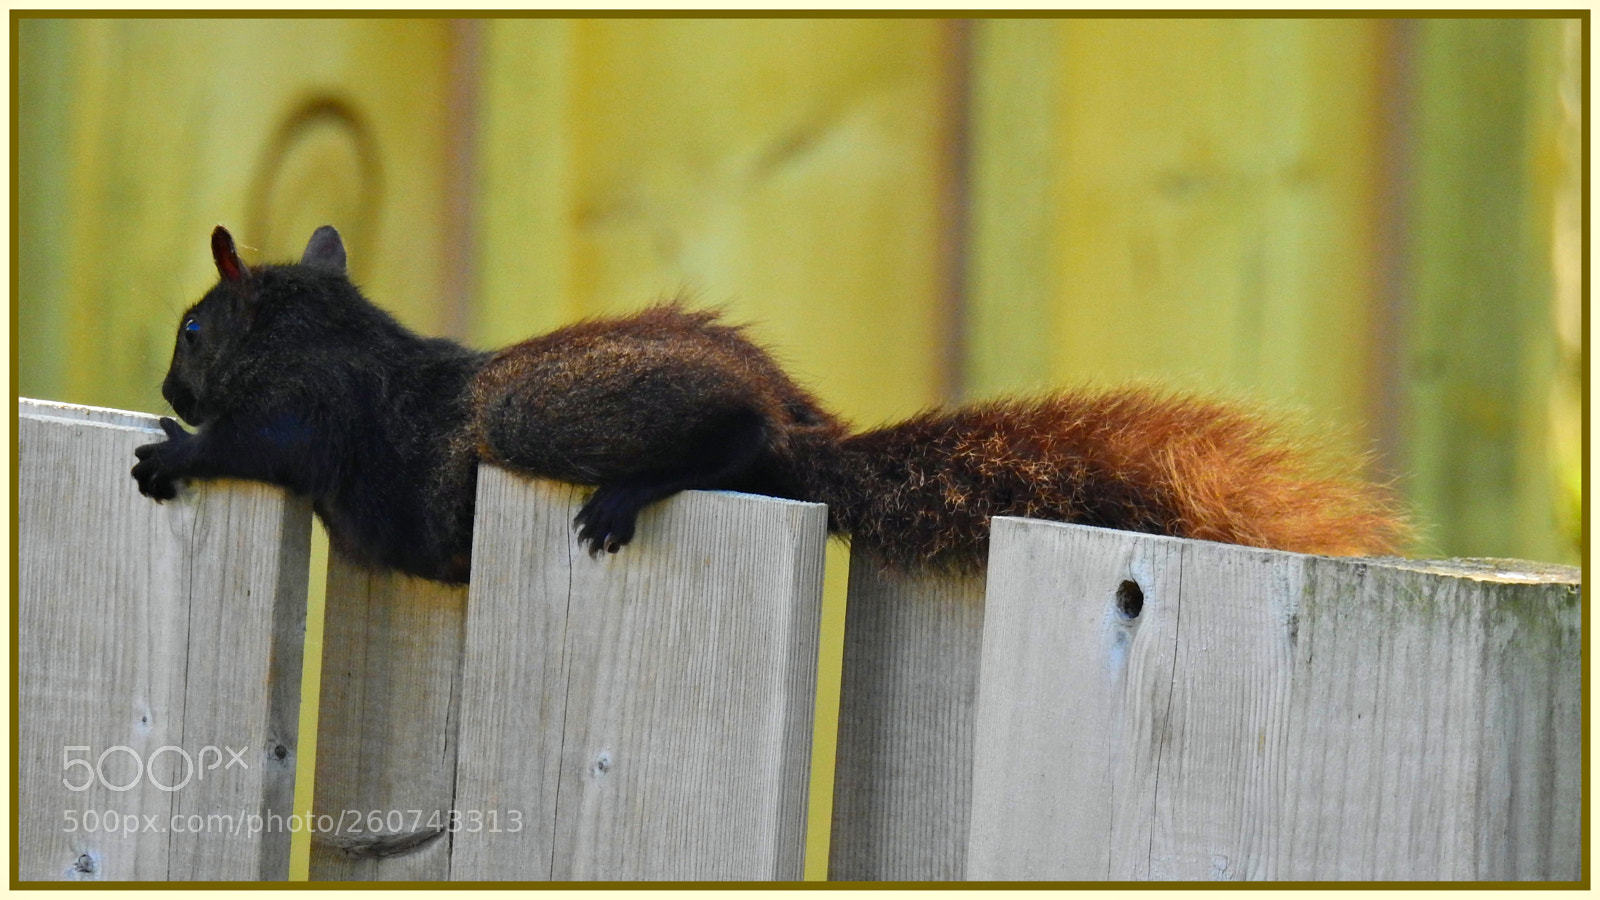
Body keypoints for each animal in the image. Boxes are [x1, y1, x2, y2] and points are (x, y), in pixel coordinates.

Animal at [131, 225, 1408, 583]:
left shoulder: (310, 411)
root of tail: (807, 427)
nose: (162, 381)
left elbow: (256, 445)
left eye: (192, 328)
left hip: (542, 409)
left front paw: (175, 451)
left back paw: (644, 488)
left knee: (743, 449)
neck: (334, 334)